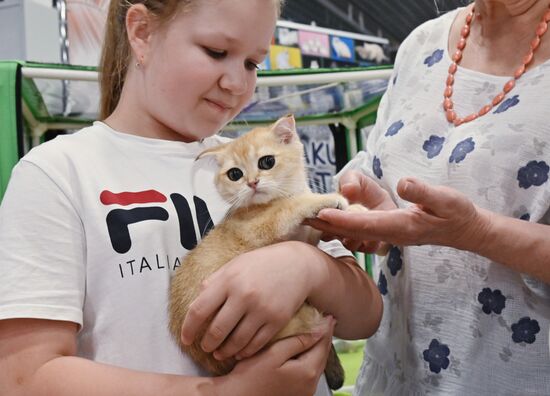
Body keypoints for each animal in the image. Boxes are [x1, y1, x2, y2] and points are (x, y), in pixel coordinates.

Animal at [168, 114, 350, 390]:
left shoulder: (306, 238)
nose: (252, 182)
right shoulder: (263, 225)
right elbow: (291, 206)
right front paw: (329, 199)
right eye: (235, 174)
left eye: (267, 162)